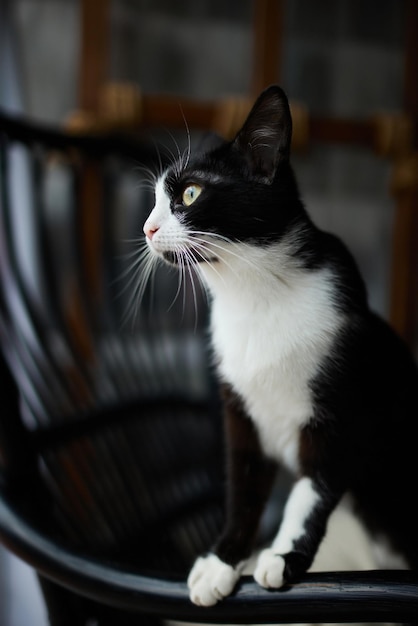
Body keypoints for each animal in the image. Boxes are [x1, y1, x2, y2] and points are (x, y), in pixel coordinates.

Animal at [141, 85, 418, 604]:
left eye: (190, 193)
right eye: (154, 199)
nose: (147, 228)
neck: (255, 297)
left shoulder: (343, 401)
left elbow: (312, 489)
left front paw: (285, 556)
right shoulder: (240, 407)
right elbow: (244, 487)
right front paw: (222, 560)